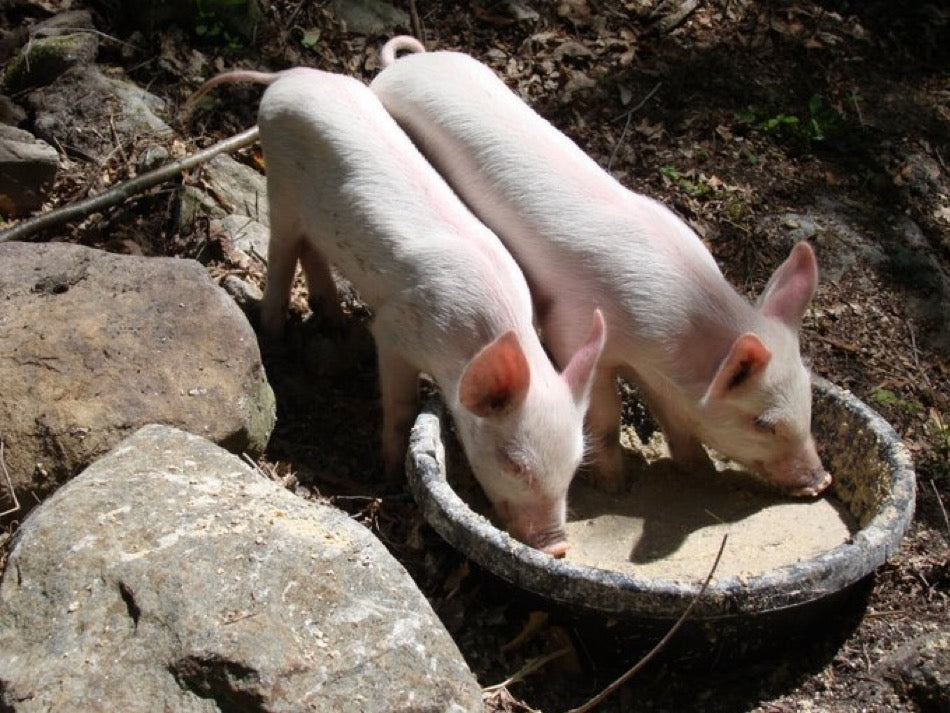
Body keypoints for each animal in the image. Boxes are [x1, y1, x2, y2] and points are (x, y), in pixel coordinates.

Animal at [189, 67, 607, 554]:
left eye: (575, 465)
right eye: (515, 464)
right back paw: (273, 335)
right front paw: (389, 473)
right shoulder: (395, 332)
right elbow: (400, 400)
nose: (557, 546)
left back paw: (332, 321)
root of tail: (291, 74)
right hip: (279, 180)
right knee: (282, 251)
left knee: (312, 248)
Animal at [372, 38, 830, 497]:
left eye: (809, 399)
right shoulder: (572, 326)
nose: (820, 480)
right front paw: (616, 487)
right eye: (762, 423)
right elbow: (607, 417)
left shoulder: (656, 372)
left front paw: (699, 474)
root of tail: (407, 63)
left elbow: (675, 416)